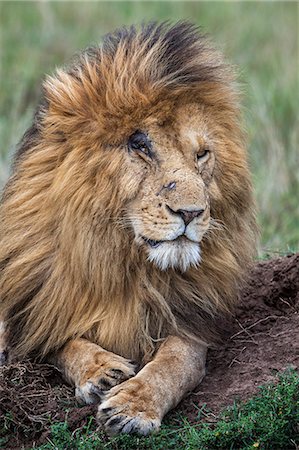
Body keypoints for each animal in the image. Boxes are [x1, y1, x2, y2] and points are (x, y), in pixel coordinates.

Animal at [0, 22, 258, 436]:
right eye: (140, 145)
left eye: (202, 154)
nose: (191, 212)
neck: (127, 263)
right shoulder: (37, 308)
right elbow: (64, 341)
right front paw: (102, 371)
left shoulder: (191, 321)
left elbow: (176, 362)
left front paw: (133, 407)